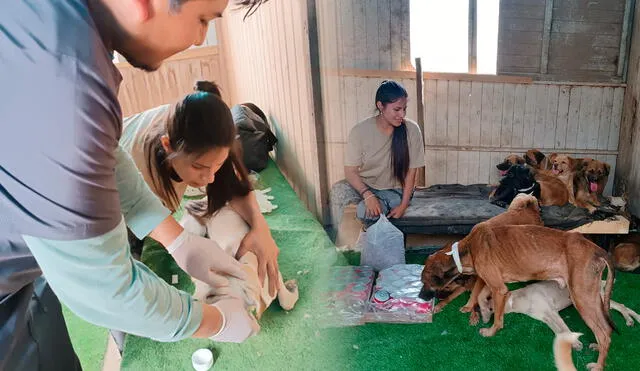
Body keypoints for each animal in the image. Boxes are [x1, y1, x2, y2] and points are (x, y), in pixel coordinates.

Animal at [418, 224, 616, 371]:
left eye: (425, 281)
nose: (420, 297)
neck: (467, 250)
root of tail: (598, 250)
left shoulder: (499, 289)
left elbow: (498, 318)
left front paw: (491, 331)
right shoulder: (491, 283)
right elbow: (479, 295)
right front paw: (481, 312)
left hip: (581, 297)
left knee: (603, 333)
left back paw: (599, 365)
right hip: (592, 297)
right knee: (606, 329)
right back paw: (598, 348)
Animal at [478, 282, 636, 352]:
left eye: (490, 308)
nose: (485, 321)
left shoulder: (553, 312)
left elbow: (565, 329)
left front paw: (576, 344)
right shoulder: (546, 318)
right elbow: (559, 332)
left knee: (621, 307)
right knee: (622, 306)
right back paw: (632, 319)